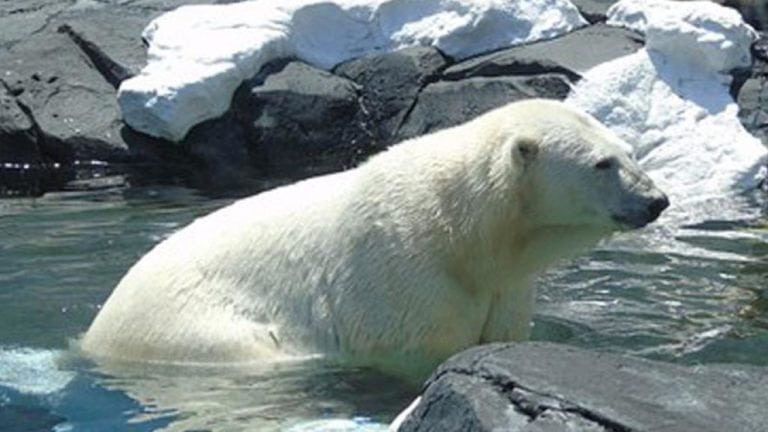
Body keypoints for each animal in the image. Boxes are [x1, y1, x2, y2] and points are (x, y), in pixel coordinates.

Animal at [81, 99, 668, 379]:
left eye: (629, 150)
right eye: (602, 163)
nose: (656, 200)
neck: (465, 231)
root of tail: (92, 334)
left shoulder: (505, 282)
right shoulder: (403, 275)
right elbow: (423, 347)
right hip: (195, 331)